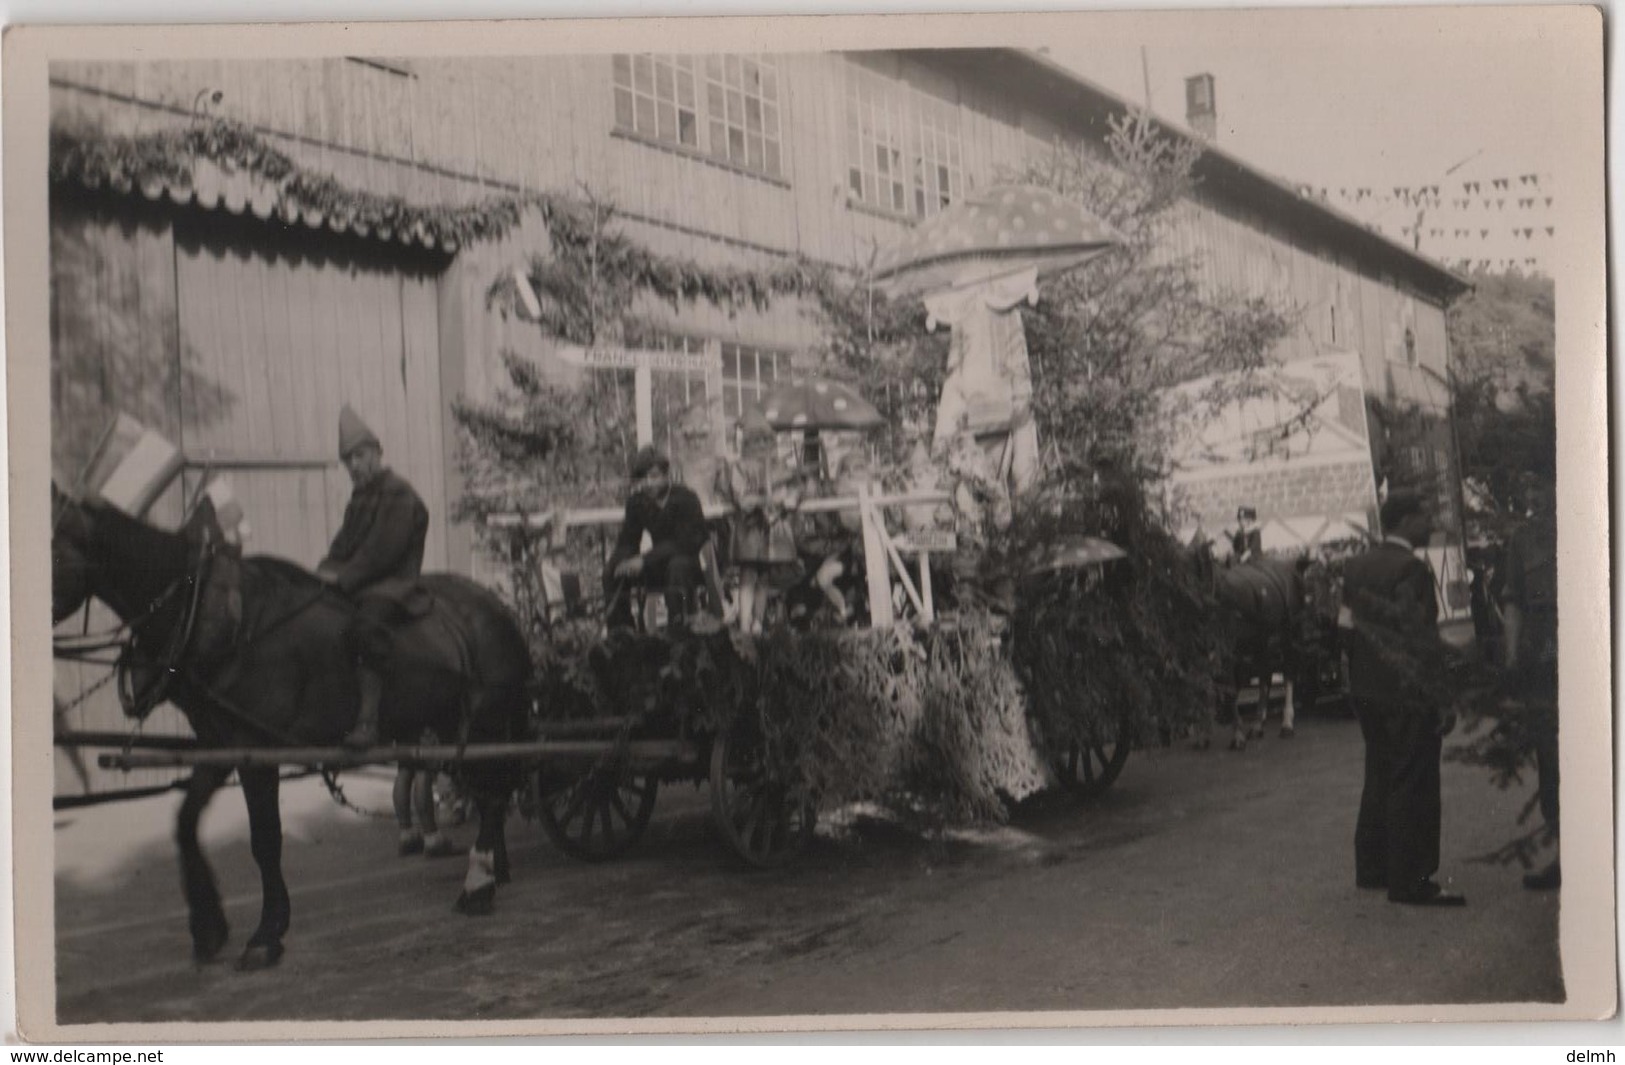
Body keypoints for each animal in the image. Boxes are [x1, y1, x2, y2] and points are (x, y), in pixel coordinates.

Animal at [50, 487, 529, 969]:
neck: (222, 618)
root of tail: (497, 605)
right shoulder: (220, 744)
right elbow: (184, 823)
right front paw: (208, 926)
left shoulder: (257, 749)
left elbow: (265, 840)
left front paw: (266, 933)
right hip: (452, 723)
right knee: (488, 785)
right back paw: (496, 867)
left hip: (485, 718)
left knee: (491, 794)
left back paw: (478, 883)